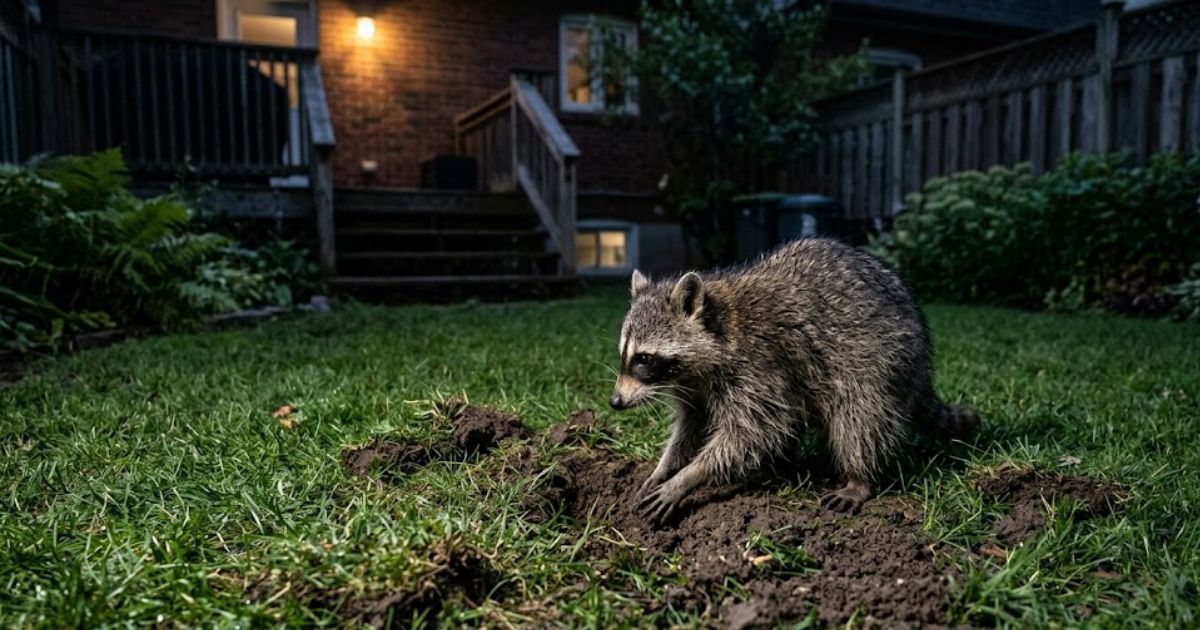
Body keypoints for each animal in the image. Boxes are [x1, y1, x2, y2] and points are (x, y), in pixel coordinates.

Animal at [610, 238, 977, 523]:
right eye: (624, 355)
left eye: (643, 359)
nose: (615, 402)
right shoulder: (693, 385)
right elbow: (692, 426)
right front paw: (667, 466)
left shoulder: (758, 366)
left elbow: (751, 433)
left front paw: (689, 476)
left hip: (882, 361)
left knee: (859, 416)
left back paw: (859, 477)